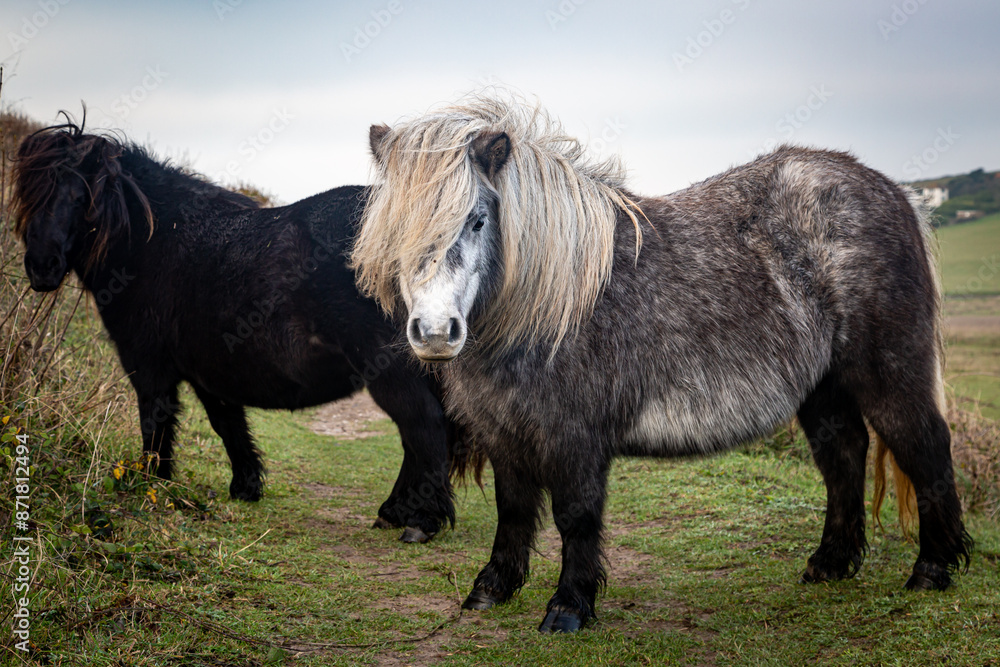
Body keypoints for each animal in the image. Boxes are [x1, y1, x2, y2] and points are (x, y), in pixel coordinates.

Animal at [13, 117, 460, 543]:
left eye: (80, 197)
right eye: (29, 194)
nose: (41, 267)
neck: (152, 244)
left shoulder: (151, 369)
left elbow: (156, 428)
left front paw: (151, 487)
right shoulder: (209, 374)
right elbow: (228, 426)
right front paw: (245, 487)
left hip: (390, 369)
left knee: (422, 426)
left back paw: (421, 520)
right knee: (415, 436)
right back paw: (395, 511)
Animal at [351, 94, 973, 632]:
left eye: (478, 219)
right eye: (390, 229)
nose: (436, 332)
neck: (552, 304)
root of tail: (896, 192)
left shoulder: (576, 439)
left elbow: (576, 517)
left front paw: (568, 609)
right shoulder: (505, 431)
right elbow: (514, 510)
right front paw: (493, 588)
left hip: (888, 373)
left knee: (923, 446)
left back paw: (933, 569)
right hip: (824, 387)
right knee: (843, 454)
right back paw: (832, 563)